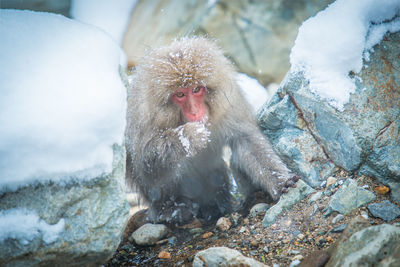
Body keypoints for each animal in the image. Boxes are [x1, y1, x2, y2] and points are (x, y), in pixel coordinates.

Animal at [126, 36, 298, 225]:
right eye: (180, 94)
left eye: (196, 89)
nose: (195, 111)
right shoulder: (144, 117)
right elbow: (143, 167)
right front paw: (188, 137)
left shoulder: (229, 104)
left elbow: (245, 140)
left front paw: (280, 181)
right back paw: (173, 209)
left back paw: (214, 207)